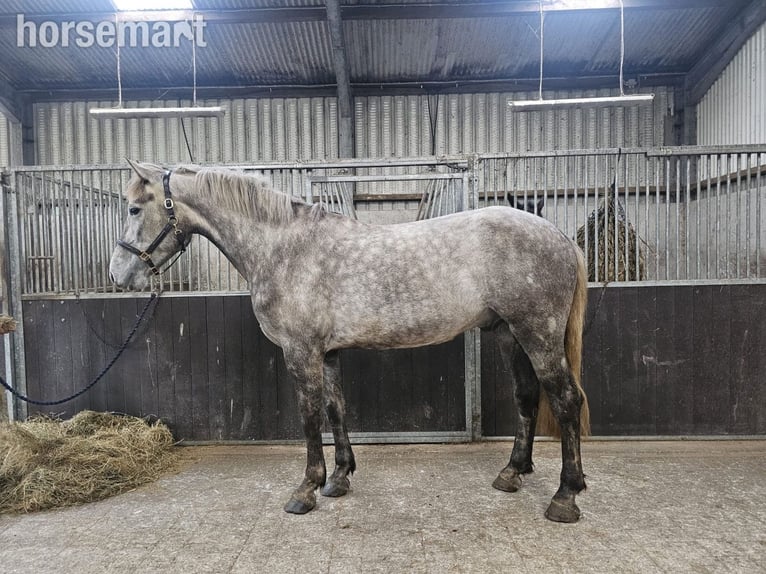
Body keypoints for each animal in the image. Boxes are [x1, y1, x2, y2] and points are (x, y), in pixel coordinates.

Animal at [109, 161, 590, 523]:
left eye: (133, 209)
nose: (118, 275)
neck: (283, 248)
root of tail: (561, 238)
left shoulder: (300, 352)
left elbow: (309, 418)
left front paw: (305, 490)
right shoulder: (328, 353)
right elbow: (336, 408)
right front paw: (339, 478)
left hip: (538, 333)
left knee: (566, 400)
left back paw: (565, 496)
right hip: (511, 334)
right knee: (527, 396)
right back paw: (512, 473)